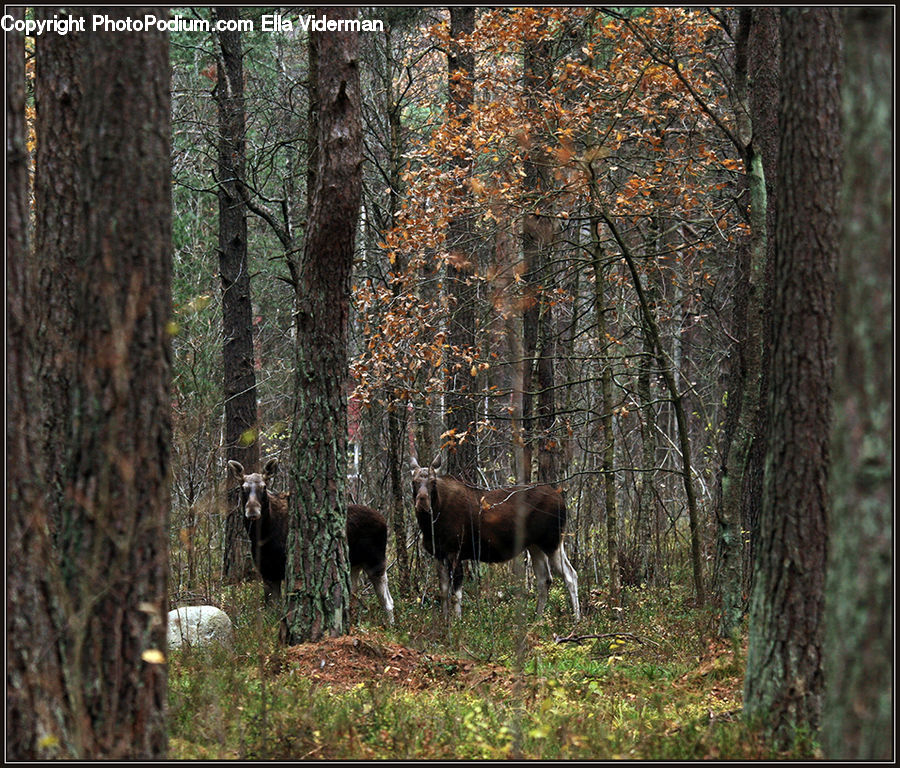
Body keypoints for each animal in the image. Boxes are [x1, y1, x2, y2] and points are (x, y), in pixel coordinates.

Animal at [229, 456, 394, 624]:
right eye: (243, 488)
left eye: (264, 487)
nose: (252, 511)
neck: (263, 535)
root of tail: (384, 520)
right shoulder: (267, 572)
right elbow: (271, 611)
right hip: (355, 565)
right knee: (353, 596)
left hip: (376, 562)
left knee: (387, 601)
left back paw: (391, 625)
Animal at [410, 452, 580, 620]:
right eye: (414, 482)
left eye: (433, 482)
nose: (422, 503)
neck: (431, 524)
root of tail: (561, 500)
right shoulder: (439, 554)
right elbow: (444, 593)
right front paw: (445, 622)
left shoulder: (455, 552)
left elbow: (456, 595)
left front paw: (458, 623)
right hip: (535, 545)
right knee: (545, 579)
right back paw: (537, 619)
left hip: (552, 541)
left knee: (570, 575)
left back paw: (577, 620)